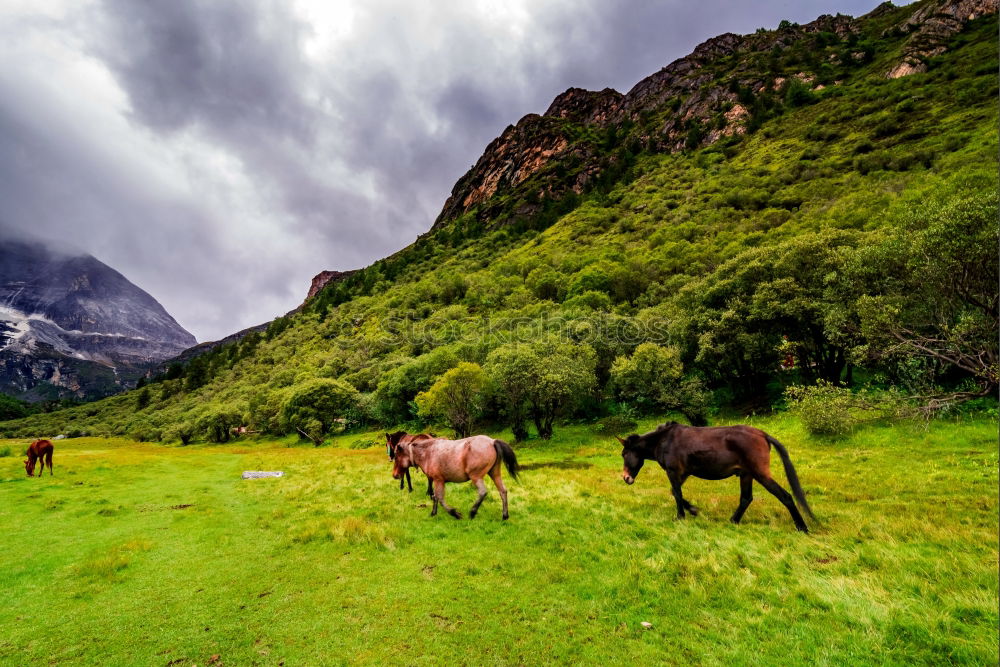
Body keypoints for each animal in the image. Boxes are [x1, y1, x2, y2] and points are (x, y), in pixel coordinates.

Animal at [386, 434, 520, 520]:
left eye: (397, 457)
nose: (395, 475)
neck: (428, 453)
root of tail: (492, 441)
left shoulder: (438, 480)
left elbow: (440, 498)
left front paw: (454, 513)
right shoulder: (436, 481)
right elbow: (435, 497)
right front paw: (433, 513)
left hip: (476, 477)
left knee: (483, 492)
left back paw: (472, 512)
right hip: (494, 474)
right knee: (503, 491)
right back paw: (505, 515)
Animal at [616, 426, 820, 536]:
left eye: (624, 454)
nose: (626, 477)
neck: (666, 440)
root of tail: (762, 434)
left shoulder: (673, 472)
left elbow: (676, 493)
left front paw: (681, 516)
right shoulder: (684, 473)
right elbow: (675, 492)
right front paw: (693, 510)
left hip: (760, 474)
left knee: (785, 496)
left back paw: (802, 527)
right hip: (746, 474)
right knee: (746, 498)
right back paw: (733, 520)